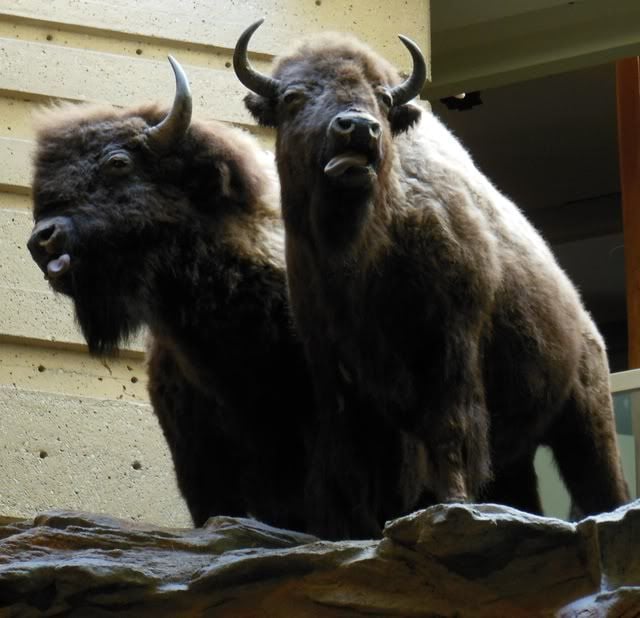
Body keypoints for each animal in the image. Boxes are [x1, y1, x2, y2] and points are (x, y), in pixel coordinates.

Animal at [235, 20, 629, 536]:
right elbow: (353, 456)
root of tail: (589, 327)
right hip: (521, 452)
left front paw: (453, 507)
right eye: (294, 96)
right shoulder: (334, 368)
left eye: (383, 98)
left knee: (600, 480)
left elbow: (449, 429)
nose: (358, 128)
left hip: (584, 419)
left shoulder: (449, 348)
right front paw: (357, 529)